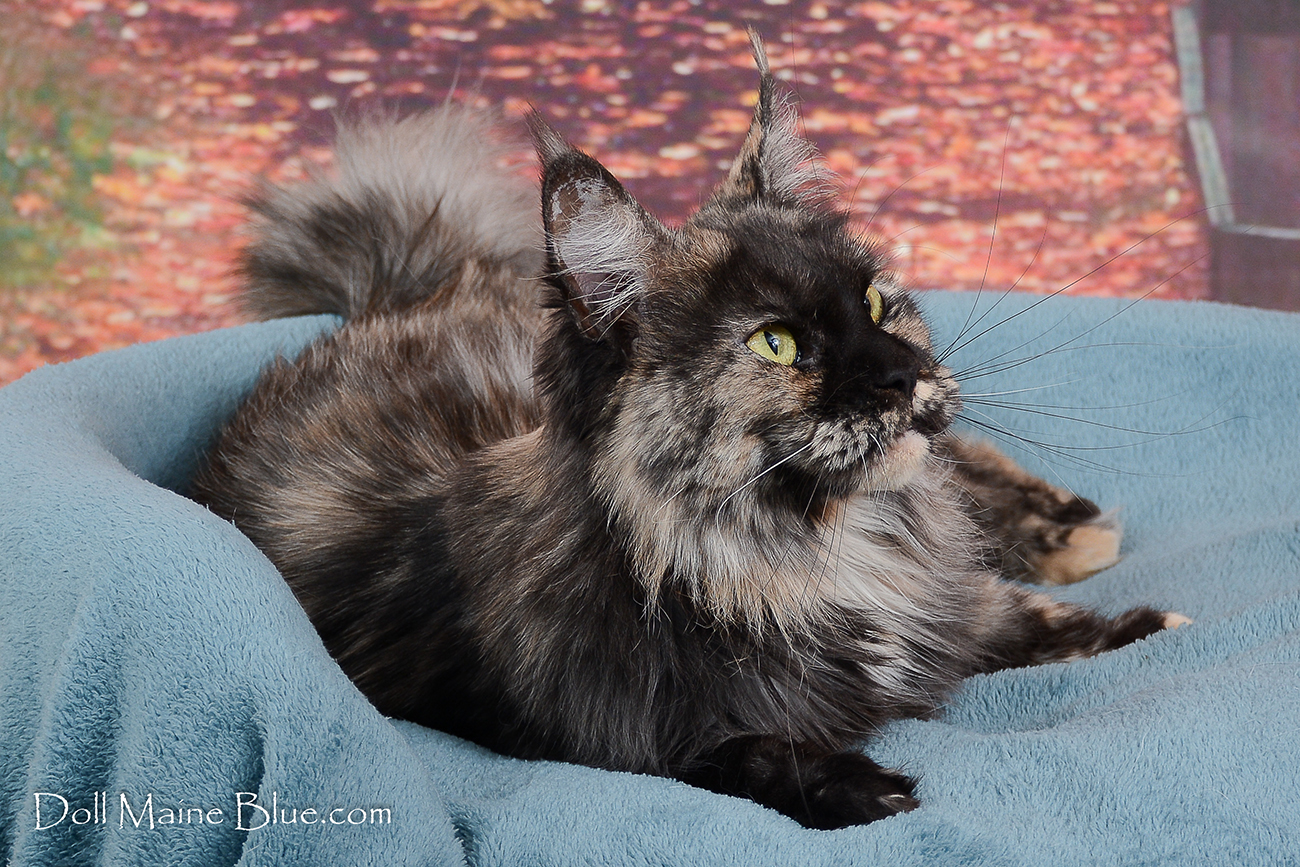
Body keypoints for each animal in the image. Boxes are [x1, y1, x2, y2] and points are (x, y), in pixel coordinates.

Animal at [189, 34, 1188, 829]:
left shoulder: (947, 599)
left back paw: (1072, 528)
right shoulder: (610, 738)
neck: (808, 555)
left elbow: (1027, 619)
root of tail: (398, 294)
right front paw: (863, 786)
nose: (904, 375)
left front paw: (1146, 622)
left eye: (873, 302)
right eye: (776, 342)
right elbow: (742, 752)